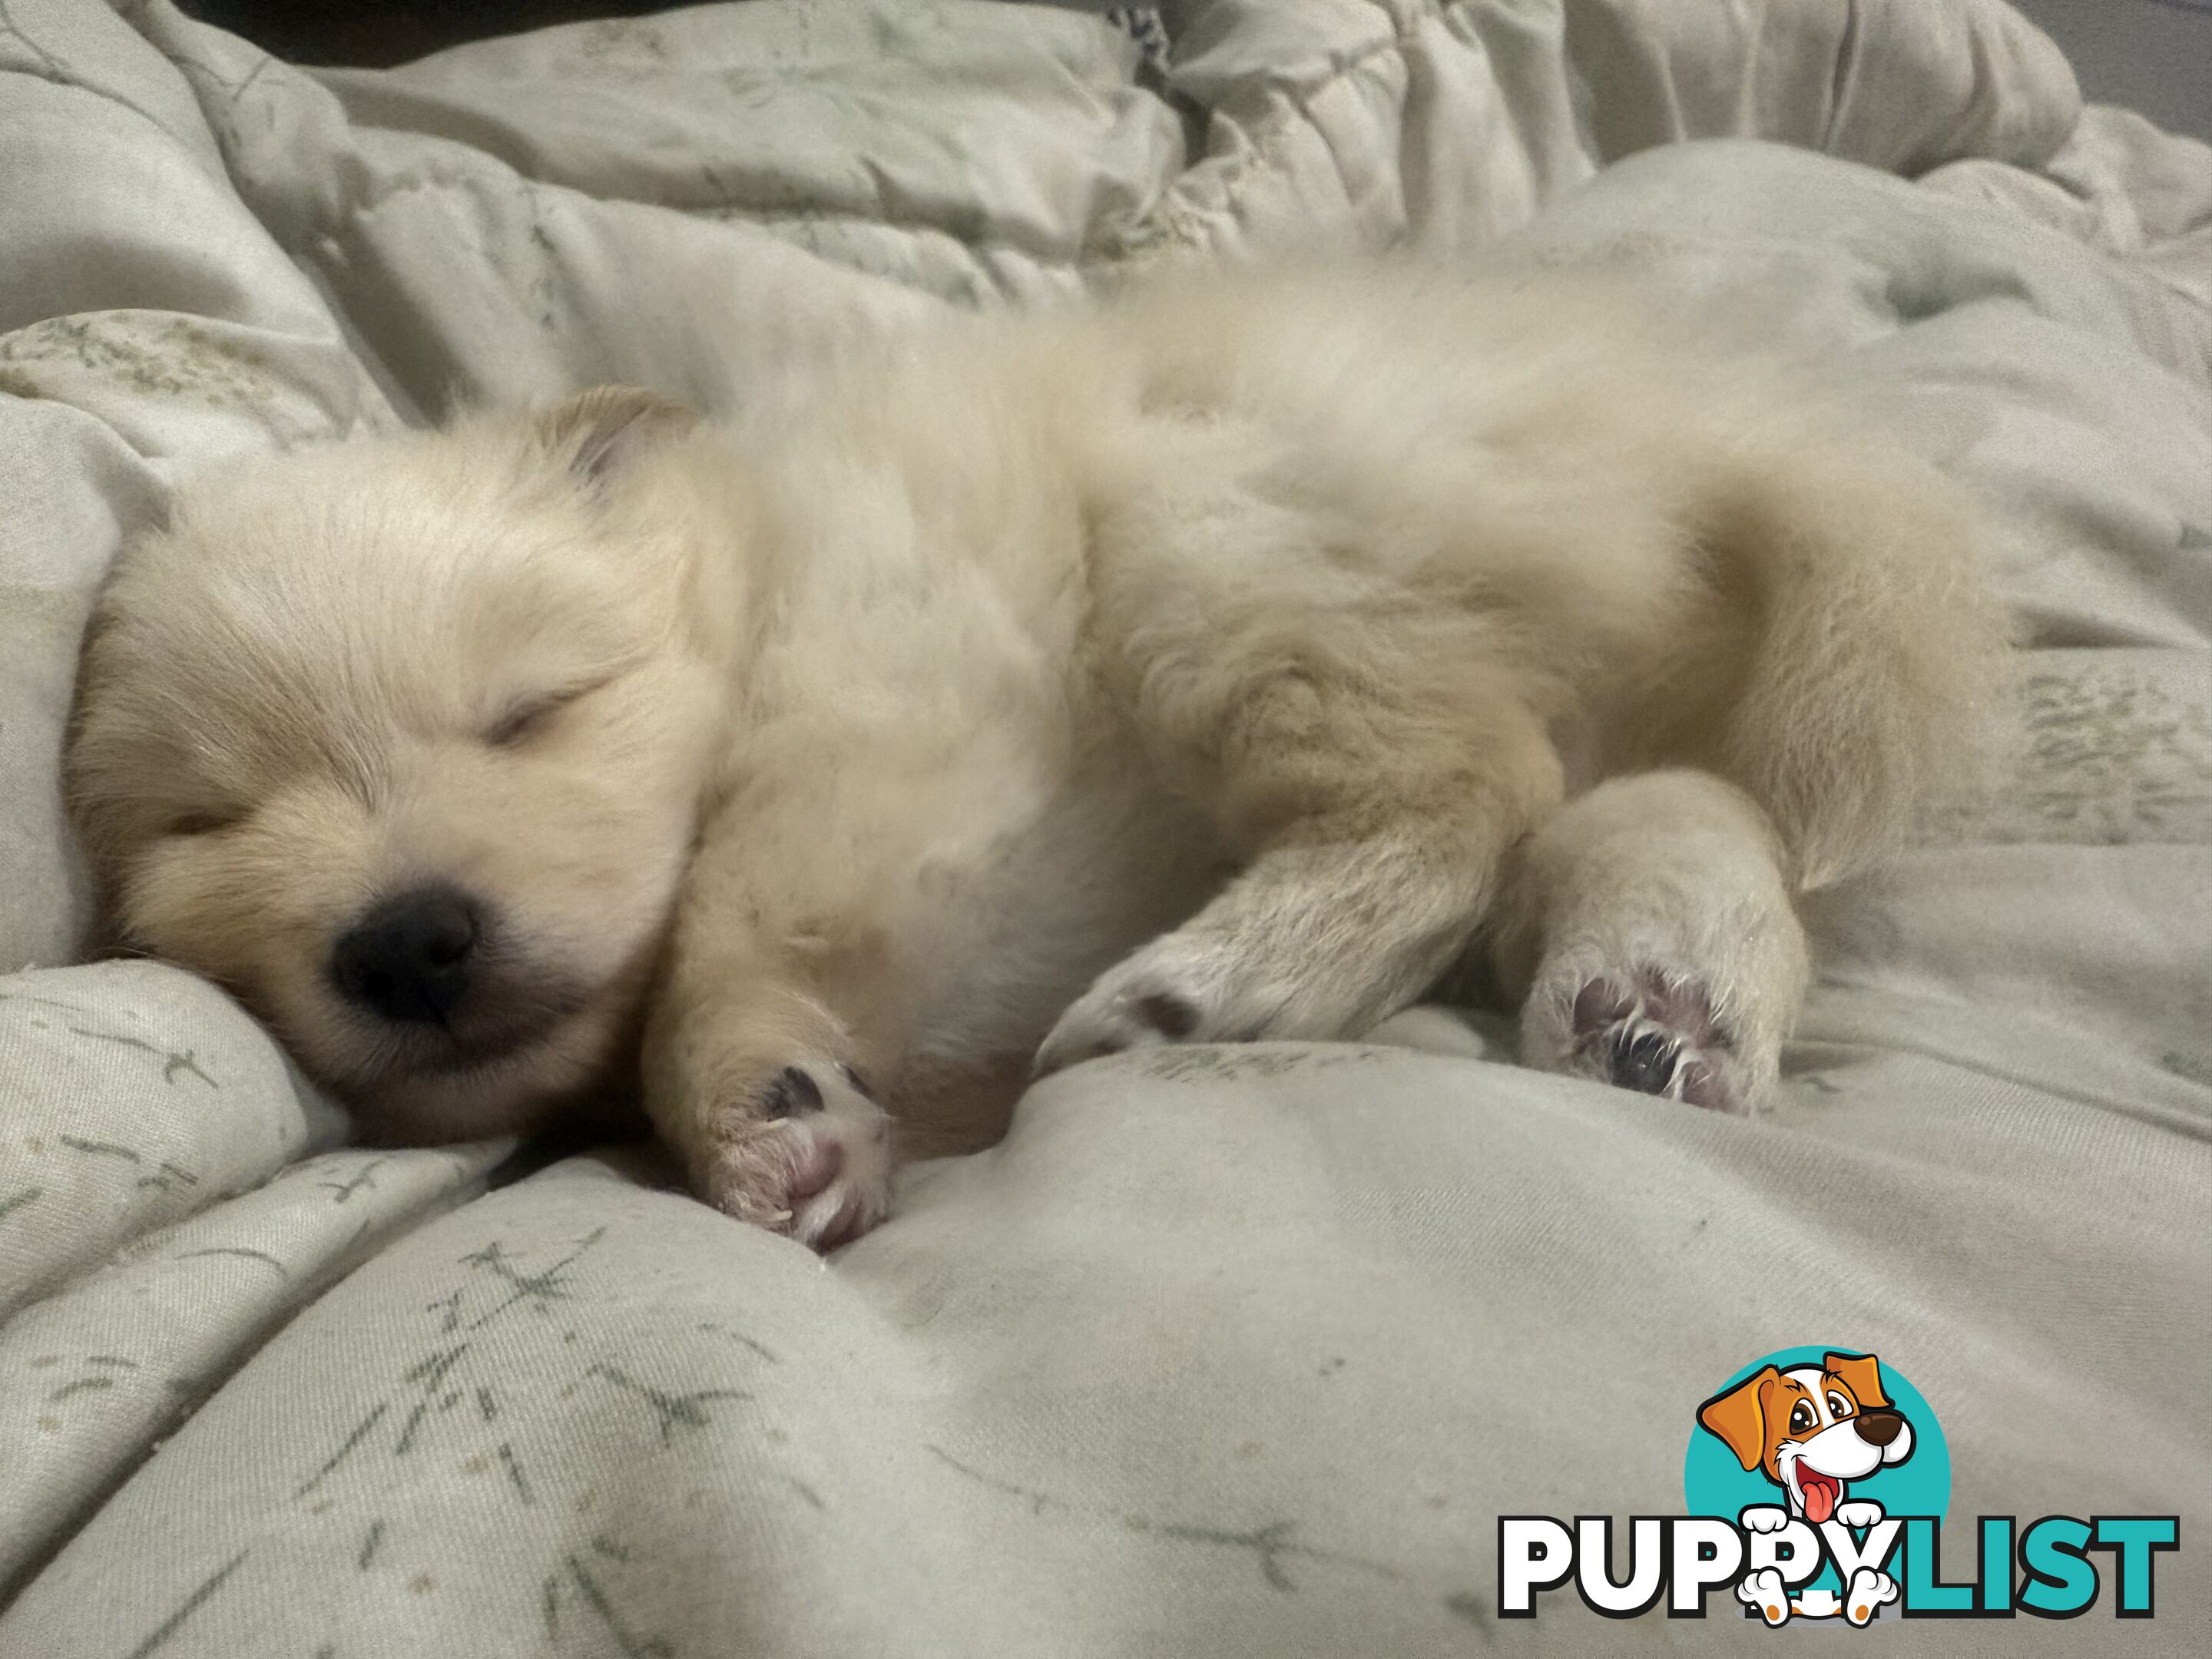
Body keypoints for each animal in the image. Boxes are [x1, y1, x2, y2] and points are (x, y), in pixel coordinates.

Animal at [65, 263, 2008, 1247]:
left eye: (535, 705)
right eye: (207, 824)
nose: (408, 942)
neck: (744, 589)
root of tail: (1673, 417)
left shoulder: (879, 715)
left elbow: (712, 954)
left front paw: (758, 1108)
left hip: (1205, 533)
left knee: (1471, 787)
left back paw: (1201, 987)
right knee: (1672, 803)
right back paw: (1661, 1006)